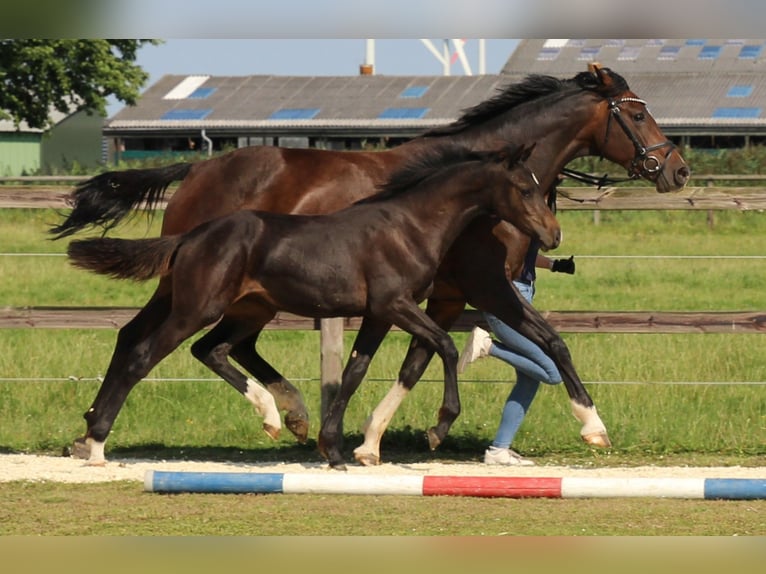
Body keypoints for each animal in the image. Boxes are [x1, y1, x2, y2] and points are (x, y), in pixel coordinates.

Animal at [66, 143, 560, 467]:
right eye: (524, 188)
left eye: (540, 186)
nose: (553, 235)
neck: (408, 225)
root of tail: (190, 237)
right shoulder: (395, 303)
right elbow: (447, 346)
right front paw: (440, 426)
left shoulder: (380, 312)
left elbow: (358, 368)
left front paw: (339, 450)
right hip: (196, 308)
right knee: (142, 355)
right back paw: (96, 444)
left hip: (247, 310)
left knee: (211, 350)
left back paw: (274, 416)